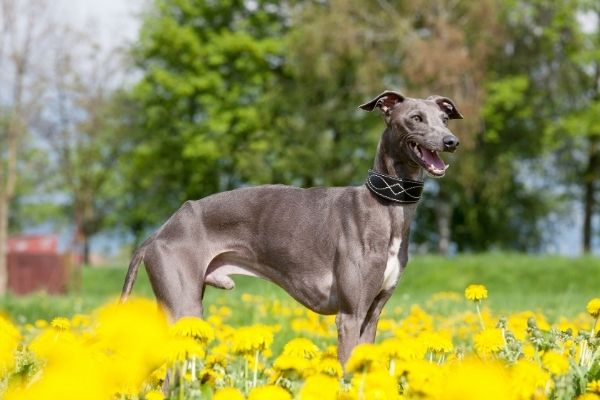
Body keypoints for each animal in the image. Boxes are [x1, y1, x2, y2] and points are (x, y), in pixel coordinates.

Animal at [119, 90, 462, 366]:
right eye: (416, 118)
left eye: (445, 118)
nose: (452, 142)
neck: (385, 208)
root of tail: (159, 232)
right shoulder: (349, 315)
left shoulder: (372, 314)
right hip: (184, 308)